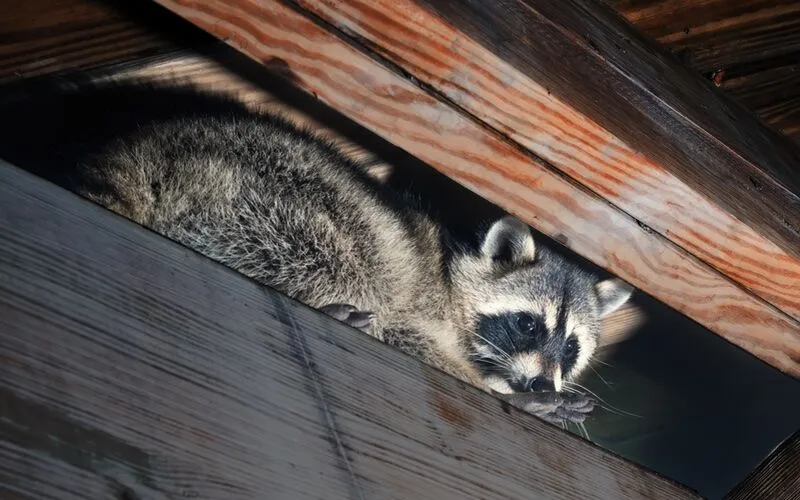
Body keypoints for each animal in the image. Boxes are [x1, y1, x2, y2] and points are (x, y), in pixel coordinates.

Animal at [0, 82, 634, 424]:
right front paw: (499, 391)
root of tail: (141, 149)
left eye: (571, 346)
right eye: (528, 325)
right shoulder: (418, 303)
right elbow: (408, 335)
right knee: (332, 250)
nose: (543, 386)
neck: (452, 277)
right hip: (263, 194)